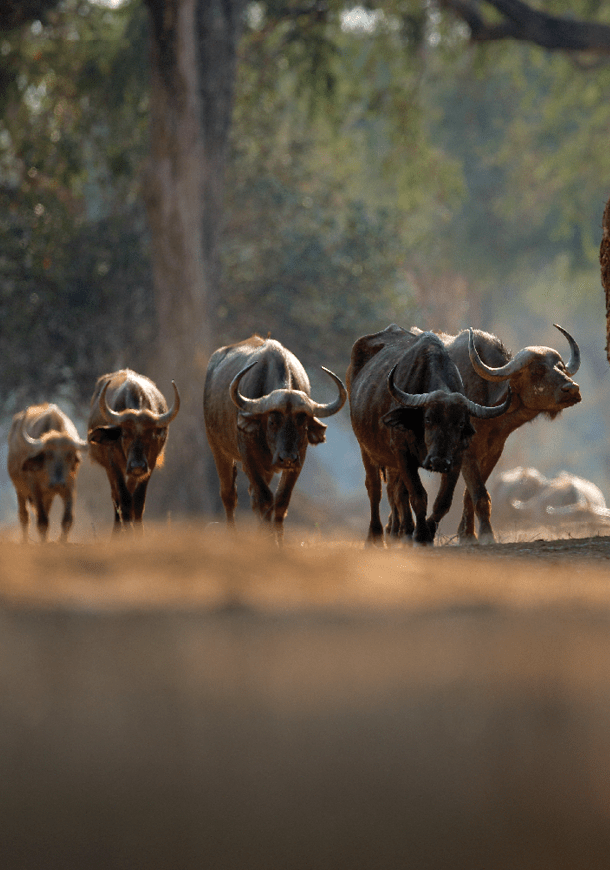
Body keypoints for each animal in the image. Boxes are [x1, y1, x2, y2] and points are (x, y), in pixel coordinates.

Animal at [7, 403, 87, 542]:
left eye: (69, 455)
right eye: (49, 455)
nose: (58, 483)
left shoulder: (69, 486)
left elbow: (68, 519)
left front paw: (62, 541)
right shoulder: (35, 489)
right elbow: (42, 521)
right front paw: (44, 542)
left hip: (48, 495)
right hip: (20, 490)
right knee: (24, 516)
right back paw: (25, 541)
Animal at [87, 369, 180, 532]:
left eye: (151, 435)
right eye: (124, 435)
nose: (137, 465)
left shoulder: (149, 465)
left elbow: (138, 501)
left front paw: (138, 532)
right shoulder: (114, 466)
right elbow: (123, 500)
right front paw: (125, 533)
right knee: (116, 498)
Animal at [203, 334, 346, 538]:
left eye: (302, 423)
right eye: (272, 422)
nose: (286, 458)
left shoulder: (298, 459)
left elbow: (281, 500)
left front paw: (277, 539)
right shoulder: (249, 456)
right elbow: (264, 498)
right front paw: (268, 539)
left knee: (252, 496)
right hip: (217, 447)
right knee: (229, 494)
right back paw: (233, 534)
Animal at [347, 325, 511, 546]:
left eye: (460, 423)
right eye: (428, 419)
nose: (438, 461)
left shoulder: (456, 458)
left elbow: (443, 501)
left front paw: (427, 532)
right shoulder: (402, 453)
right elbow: (418, 495)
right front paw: (420, 535)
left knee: (398, 492)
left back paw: (404, 532)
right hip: (366, 449)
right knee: (375, 489)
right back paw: (376, 536)